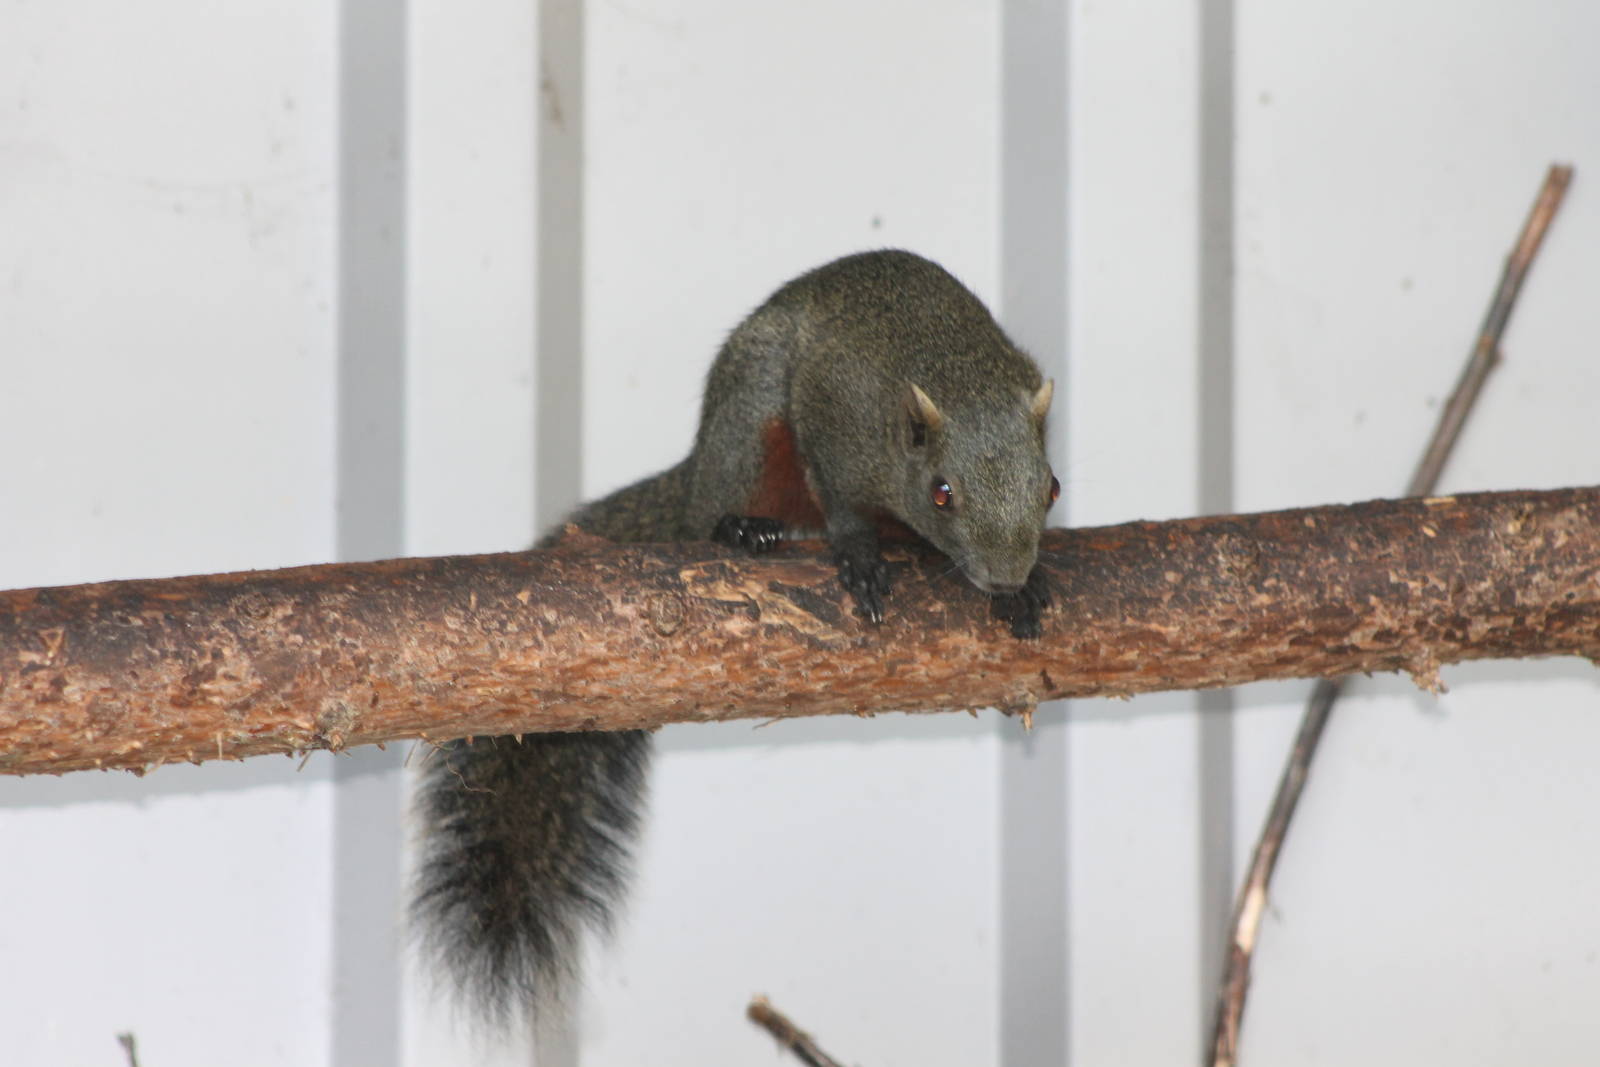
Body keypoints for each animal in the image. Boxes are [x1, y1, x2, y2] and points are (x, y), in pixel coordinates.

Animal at [412, 249, 1058, 1025]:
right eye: (942, 491)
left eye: (1052, 488)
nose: (1003, 572)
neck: (956, 372)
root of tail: (692, 469)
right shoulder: (832, 415)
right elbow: (842, 506)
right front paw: (860, 557)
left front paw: (1026, 589)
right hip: (749, 421)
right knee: (716, 506)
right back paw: (741, 529)